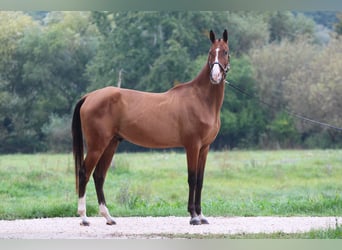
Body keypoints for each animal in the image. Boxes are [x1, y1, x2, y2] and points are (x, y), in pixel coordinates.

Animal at [73, 28, 231, 225]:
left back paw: (108, 217)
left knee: (99, 176)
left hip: (110, 144)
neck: (201, 99)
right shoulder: (192, 146)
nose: (215, 76)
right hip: (97, 145)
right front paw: (194, 216)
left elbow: (200, 180)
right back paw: (84, 217)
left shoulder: (204, 148)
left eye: (225, 52)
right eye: (210, 53)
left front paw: (201, 216)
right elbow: (192, 178)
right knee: (84, 173)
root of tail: (89, 97)